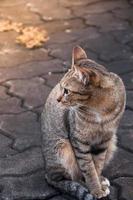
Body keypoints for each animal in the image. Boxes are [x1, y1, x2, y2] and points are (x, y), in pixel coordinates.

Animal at [41, 45, 125, 200]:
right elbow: (88, 169)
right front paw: (95, 190)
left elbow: (97, 165)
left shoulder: (104, 141)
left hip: (112, 142)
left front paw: (98, 183)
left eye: (67, 91)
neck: (99, 108)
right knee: (69, 178)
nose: (58, 99)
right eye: (60, 87)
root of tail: (47, 172)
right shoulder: (79, 142)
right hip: (63, 148)